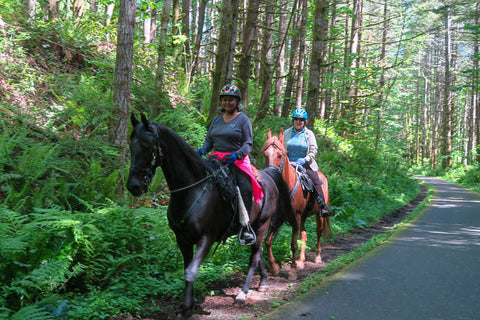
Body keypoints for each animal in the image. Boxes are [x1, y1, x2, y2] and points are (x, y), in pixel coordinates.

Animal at [126, 114, 292, 318]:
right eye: (131, 146)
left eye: (147, 146)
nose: (133, 186)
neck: (192, 189)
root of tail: (269, 175)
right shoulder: (183, 239)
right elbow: (186, 270)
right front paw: (190, 303)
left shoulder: (206, 238)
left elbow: (191, 271)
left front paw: (187, 308)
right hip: (254, 227)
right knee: (258, 251)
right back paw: (263, 282)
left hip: (262, 225)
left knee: (254, 256)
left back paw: (243, 293)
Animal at [262, 128, 330, 280]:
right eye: (265, 154)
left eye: (280, 155)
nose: (270, 174)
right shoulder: (278, 219)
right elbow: (268, 241)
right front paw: (274, 267)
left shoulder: (296, 218)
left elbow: (293, 245)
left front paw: (292, 272)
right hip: (303, 217)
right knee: (304, 234)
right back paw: (301, 260)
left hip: (318, 214)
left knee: (318, 231)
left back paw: (317, 257)